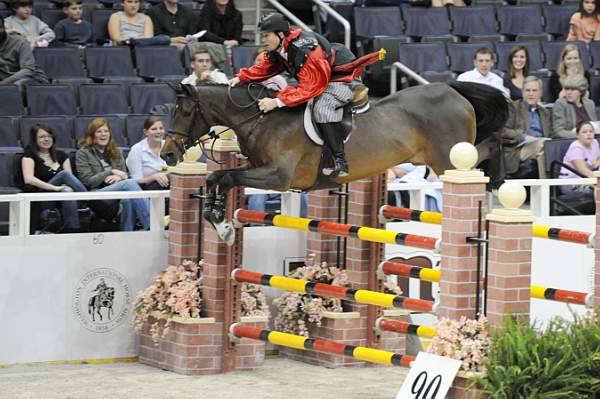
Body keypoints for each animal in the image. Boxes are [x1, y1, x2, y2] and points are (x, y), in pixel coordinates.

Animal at [162, 81, 508, 245]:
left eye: (185, 111)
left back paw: (499, 184)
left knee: (488, 148)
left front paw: (222, 226)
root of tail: (451, 89)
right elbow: (216, 179)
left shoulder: (278, 177)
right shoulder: (260, 170)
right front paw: (218, 220)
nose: (167, 154)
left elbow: (226, 178)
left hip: (447, 156)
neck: (261, 119)